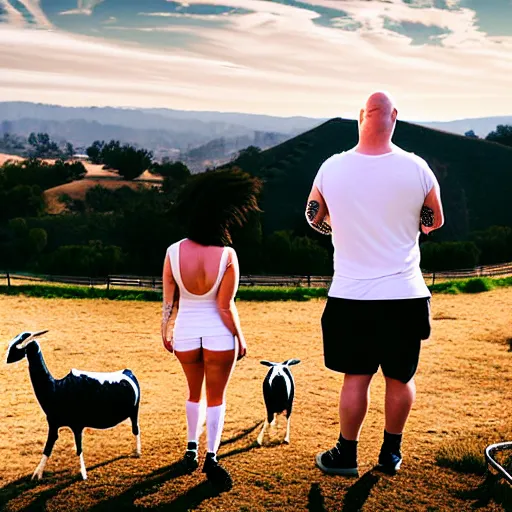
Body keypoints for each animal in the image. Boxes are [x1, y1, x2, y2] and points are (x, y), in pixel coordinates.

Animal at [6, 332, 142, 480]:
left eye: (18, 346)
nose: (6, 359)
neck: (56, 389)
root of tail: (128, 372)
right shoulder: (53, 424)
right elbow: (48, 447)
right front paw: (37, 474)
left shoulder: (77, 426)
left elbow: (78, 448)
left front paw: (83, 474)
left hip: (134, 412)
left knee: (136, 429)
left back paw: (138, 452)